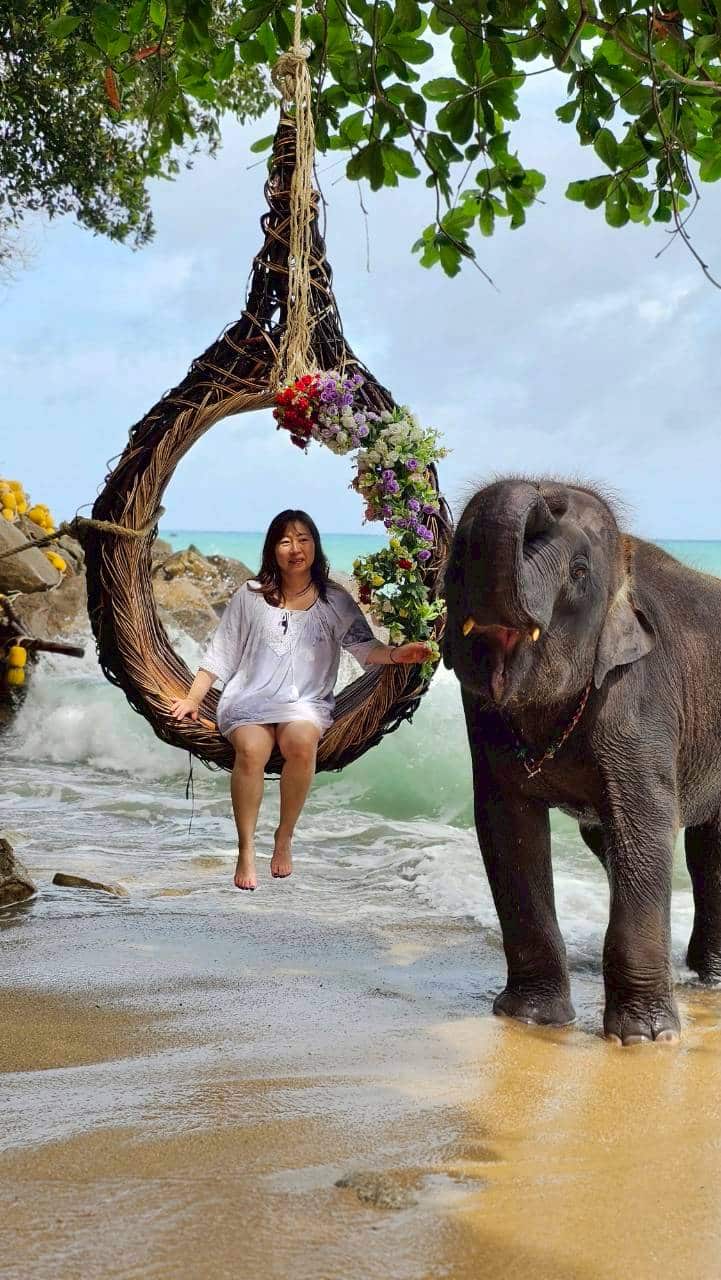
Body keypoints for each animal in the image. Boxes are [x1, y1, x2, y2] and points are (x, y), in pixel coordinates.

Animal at [442, 477, 721, 1044]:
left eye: (578, 571)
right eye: (458, 556)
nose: (547, 494)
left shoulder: (637, 694)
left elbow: (646, 822)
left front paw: (645, 1038)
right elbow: (507, 826)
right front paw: (530, 1017)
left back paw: (711, 980)